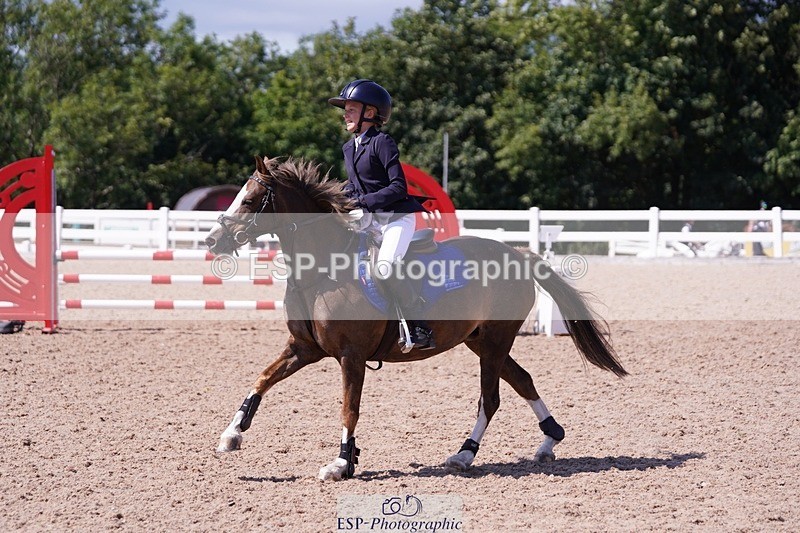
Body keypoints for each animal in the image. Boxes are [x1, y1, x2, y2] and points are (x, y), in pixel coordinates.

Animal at [205, 156, 627, 481]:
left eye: (251, 200)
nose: (212, 241)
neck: (321, 271)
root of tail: (519, 254)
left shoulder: (350, 356)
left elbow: (349, 407)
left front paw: (340, 464)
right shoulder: (303, 348)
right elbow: (261, 380)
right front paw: (231, 435)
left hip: (494, 341)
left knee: (490, 399)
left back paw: (465, 454)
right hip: (480, 340)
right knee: (522, 380)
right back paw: (549, 440)